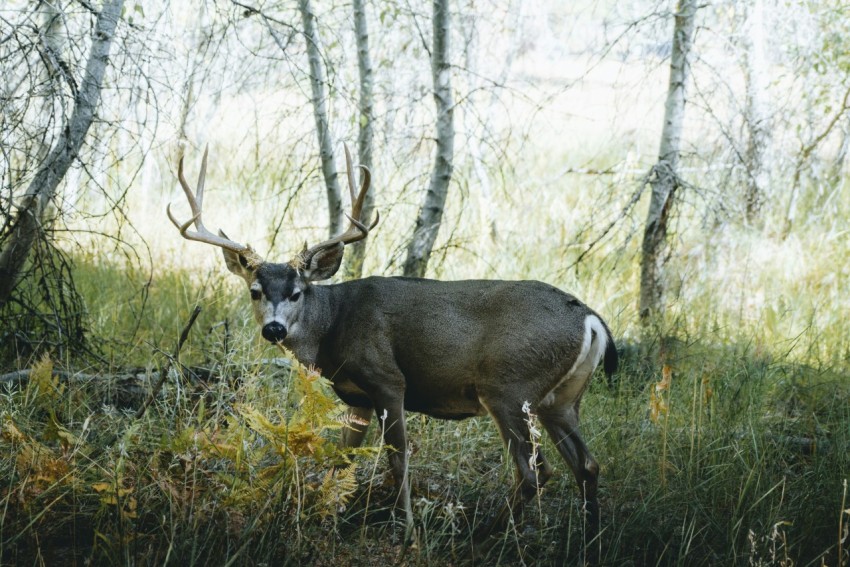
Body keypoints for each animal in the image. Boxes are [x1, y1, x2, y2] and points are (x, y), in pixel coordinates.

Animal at [168, 144, 618, 554]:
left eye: (297, 292)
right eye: (255, 291)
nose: (274, 329)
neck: (334, 328)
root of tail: (590, 318)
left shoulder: (387, 381)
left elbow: (398, 461)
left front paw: (407, 533)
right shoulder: (356, 396)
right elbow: (343, 458)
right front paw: (329, 514)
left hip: (508, 387)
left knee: (534, 472)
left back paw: (479, 540)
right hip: (559, 400)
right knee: (587, 464)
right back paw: (590, 541)